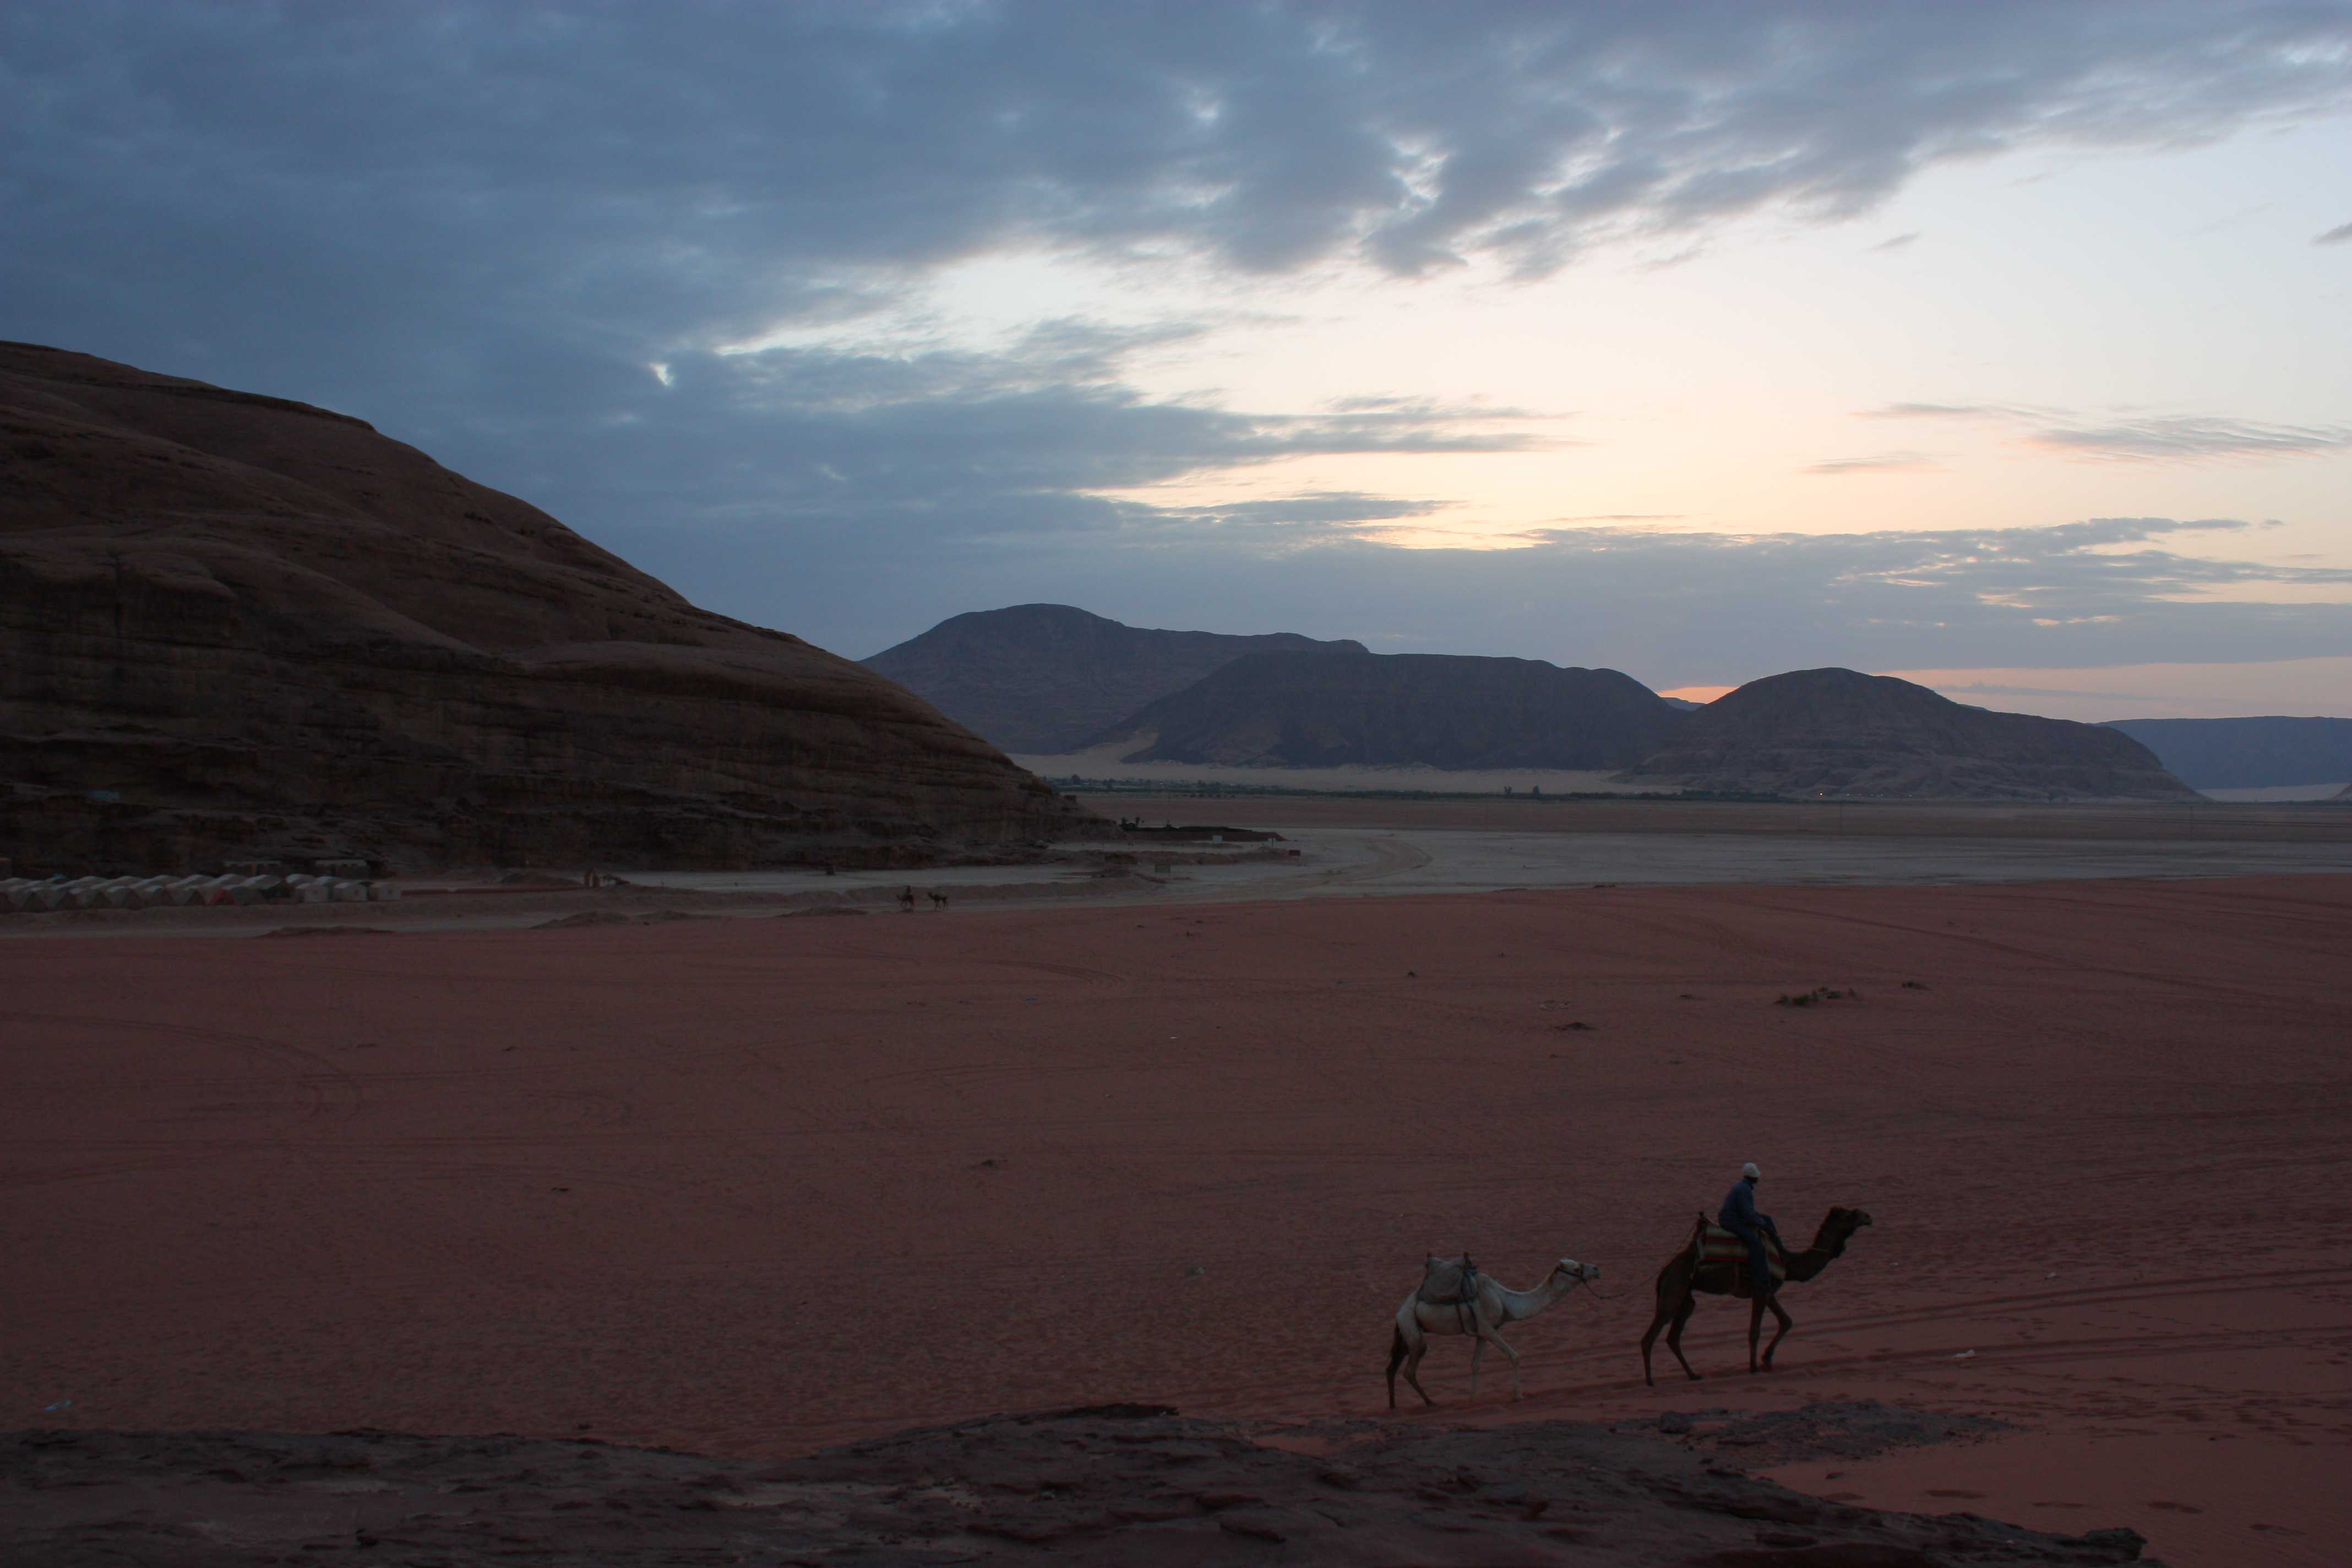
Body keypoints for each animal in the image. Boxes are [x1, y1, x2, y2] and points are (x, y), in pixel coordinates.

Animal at [1373, 1260, 1599, 1410]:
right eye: (1577, 1268)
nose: (1596, 1269)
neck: (1504, 1299)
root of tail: (1399, 1312)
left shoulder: (1482, 1333)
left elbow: (1475, 1366)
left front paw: (1473, 1400)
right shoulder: (1489, 1329)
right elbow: (1515, 1356)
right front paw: (1517, 1396)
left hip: (1405, 1334)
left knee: (1392, 1368)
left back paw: (1393, 1405)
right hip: (1411, 1329)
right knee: (1409, 1369)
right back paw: (1430, 1402)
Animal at [1646, 1204, 1863, 1382]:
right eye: (1850, 1215)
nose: (1867, 1216)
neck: (1787, 1261)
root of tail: (1665, 1271)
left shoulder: (1768, 1291)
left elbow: (1786, 1321)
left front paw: (1767, 1360)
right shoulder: (1760, 1290)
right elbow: (1755, 1331)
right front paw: (1754, 1368)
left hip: (1686, 1298)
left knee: (1673, 1336)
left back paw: (1693, 1375)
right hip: (1675, 1289)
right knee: (1653, 1333)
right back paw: (1650, 1381)